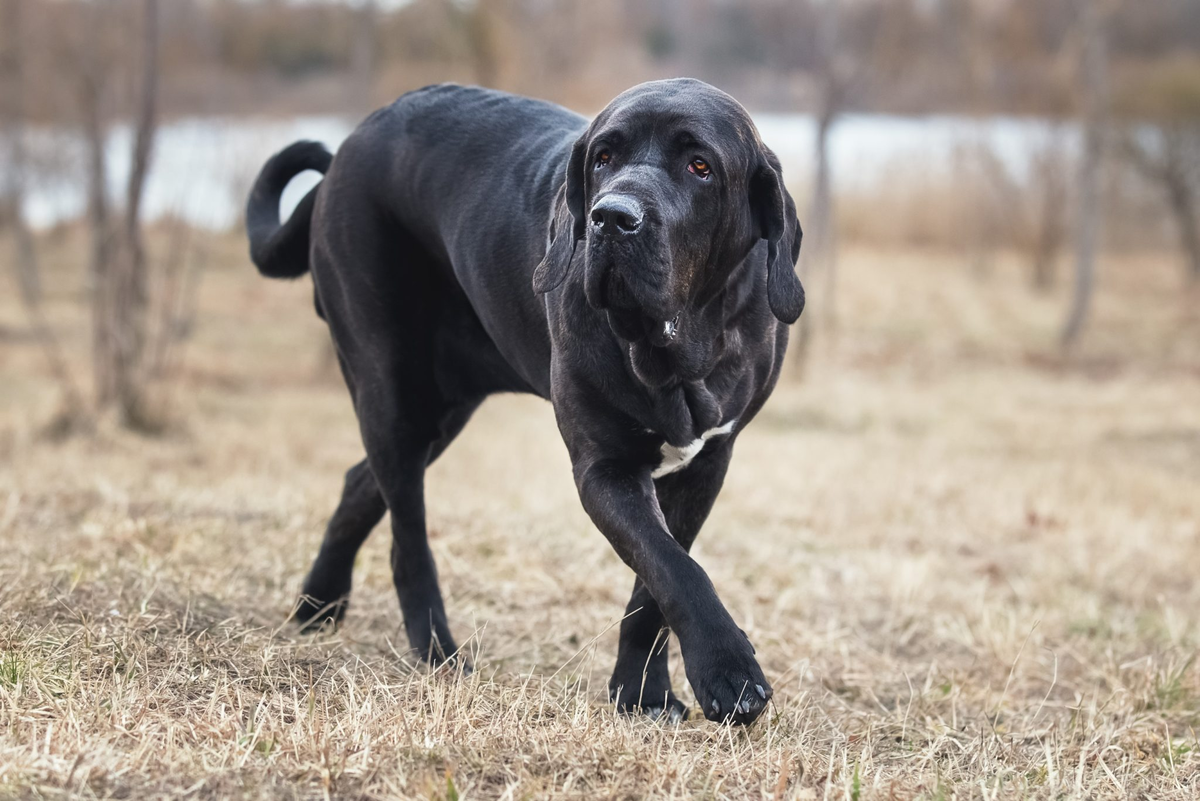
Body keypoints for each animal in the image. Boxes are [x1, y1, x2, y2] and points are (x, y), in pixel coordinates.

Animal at [244, 81, 801, 724]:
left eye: (701, 166)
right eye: (603, 157)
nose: (612, 218)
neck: (676, 349)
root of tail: (346, 149)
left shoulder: (707, 463)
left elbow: (654, 587)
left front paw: (644, 695)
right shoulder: (604, 468)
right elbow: (672, 567)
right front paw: (728, 673)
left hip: (442, 407)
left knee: (361, 482)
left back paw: (319, 604)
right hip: (390, 389)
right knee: (407, 538)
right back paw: (439, 654)